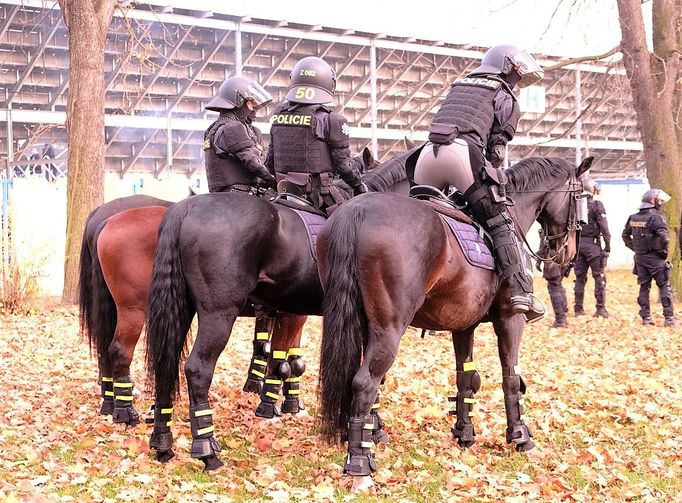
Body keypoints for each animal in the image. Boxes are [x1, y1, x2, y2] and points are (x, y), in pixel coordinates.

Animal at [143, 148, 412, 470]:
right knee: (197, 369)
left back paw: (162, 442)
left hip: (180, 308)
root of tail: (186, 208)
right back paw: (207, 450)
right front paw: (370, 427)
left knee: (165, 363)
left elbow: (286, 359)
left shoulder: (294, 313)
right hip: (218, 313)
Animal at [316, 156, 592, 486]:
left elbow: (466, 379)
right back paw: (360, 464)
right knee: (364, 383)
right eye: (582, 198)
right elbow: (511, 378)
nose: (567, 254)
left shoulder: (463, 327)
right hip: (388, 330)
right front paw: (520, 436)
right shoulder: (510, 319)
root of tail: (356, 210)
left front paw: (465, 432)